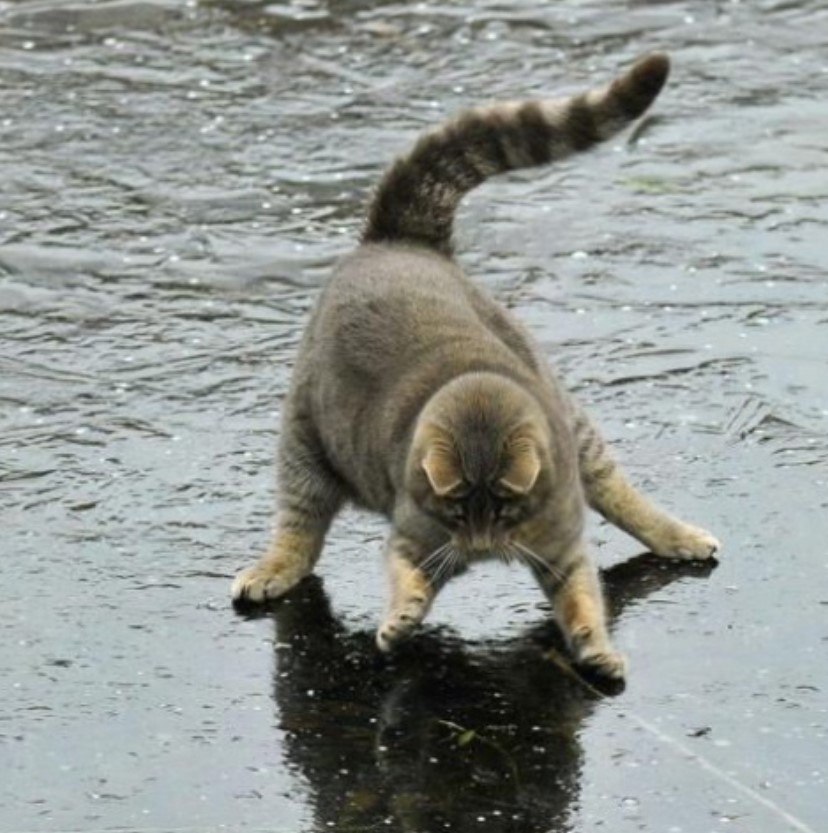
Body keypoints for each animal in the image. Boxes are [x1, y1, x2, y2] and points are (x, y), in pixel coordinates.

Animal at [231, 52, 720, 680]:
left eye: (505, 510)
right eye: (459, 513)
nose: (484, 549)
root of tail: (398, 240)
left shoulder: (561, 538)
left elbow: (582, 596)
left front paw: (593, 642)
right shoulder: (413, 533)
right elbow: (406, 573)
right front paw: (405, 611)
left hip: (568, 419)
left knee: (616, 487)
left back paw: (670, 532)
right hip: (305, 437)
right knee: (301, 522)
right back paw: (278, 563)